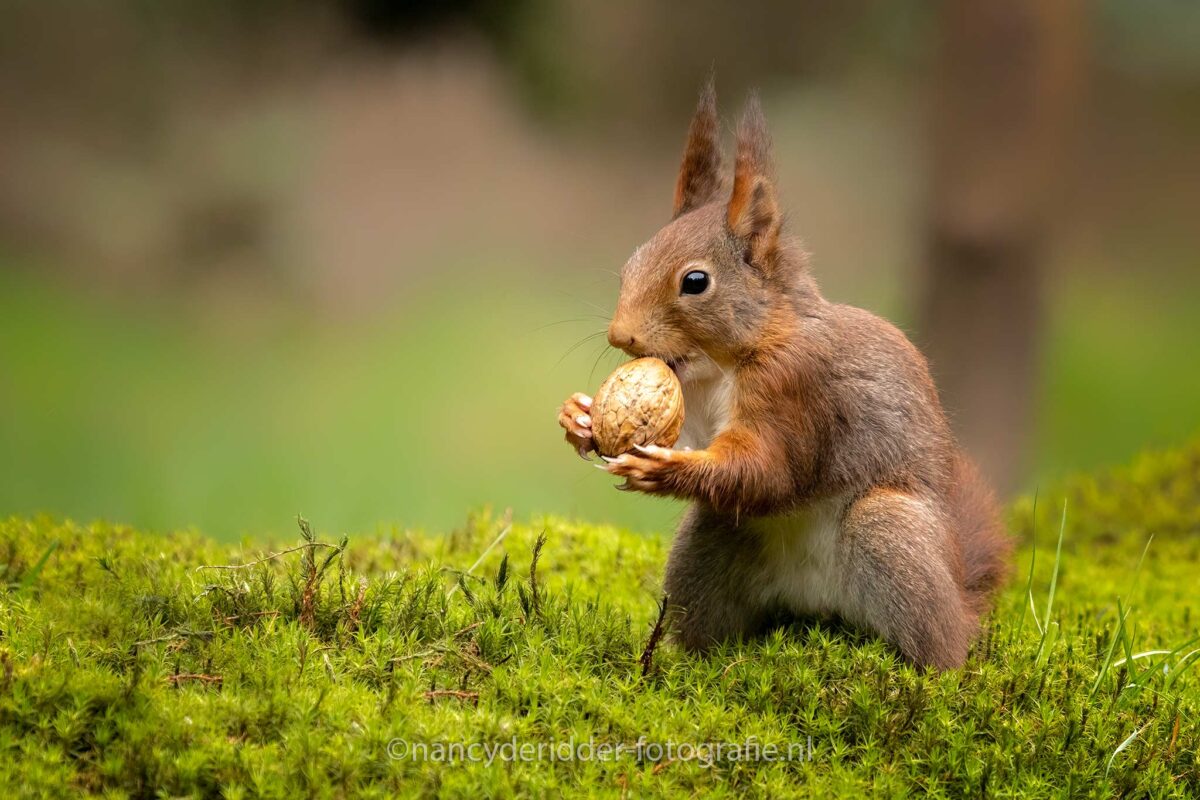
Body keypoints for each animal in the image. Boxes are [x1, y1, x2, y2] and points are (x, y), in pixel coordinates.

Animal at [557, 80, 1011, 670]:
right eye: (631, 264)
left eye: (695, 282)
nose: (620, 337)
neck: (725, 363)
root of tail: (816, 602)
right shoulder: (694, 403)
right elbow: (698, 441)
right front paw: (580, 417)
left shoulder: (797, 387)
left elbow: (768, 468)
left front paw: (666, 470)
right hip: (708, 544)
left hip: (892, 535)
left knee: (942, 644)